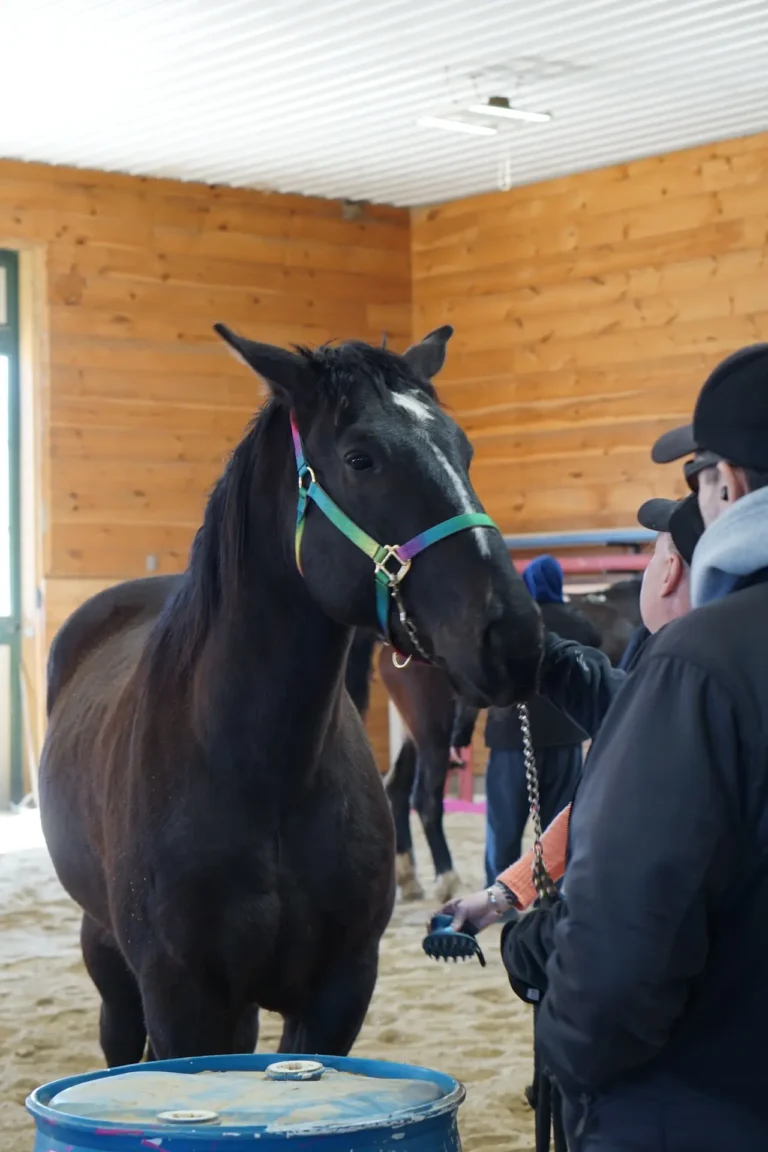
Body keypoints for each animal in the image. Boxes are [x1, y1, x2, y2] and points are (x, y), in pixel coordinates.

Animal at [38, 323, 544, 1065]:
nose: (513, 636)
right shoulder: (183, 1001)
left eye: (464, 450)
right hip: (107, 957)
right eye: (362, 459)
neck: (262, 769)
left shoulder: (339, 991)